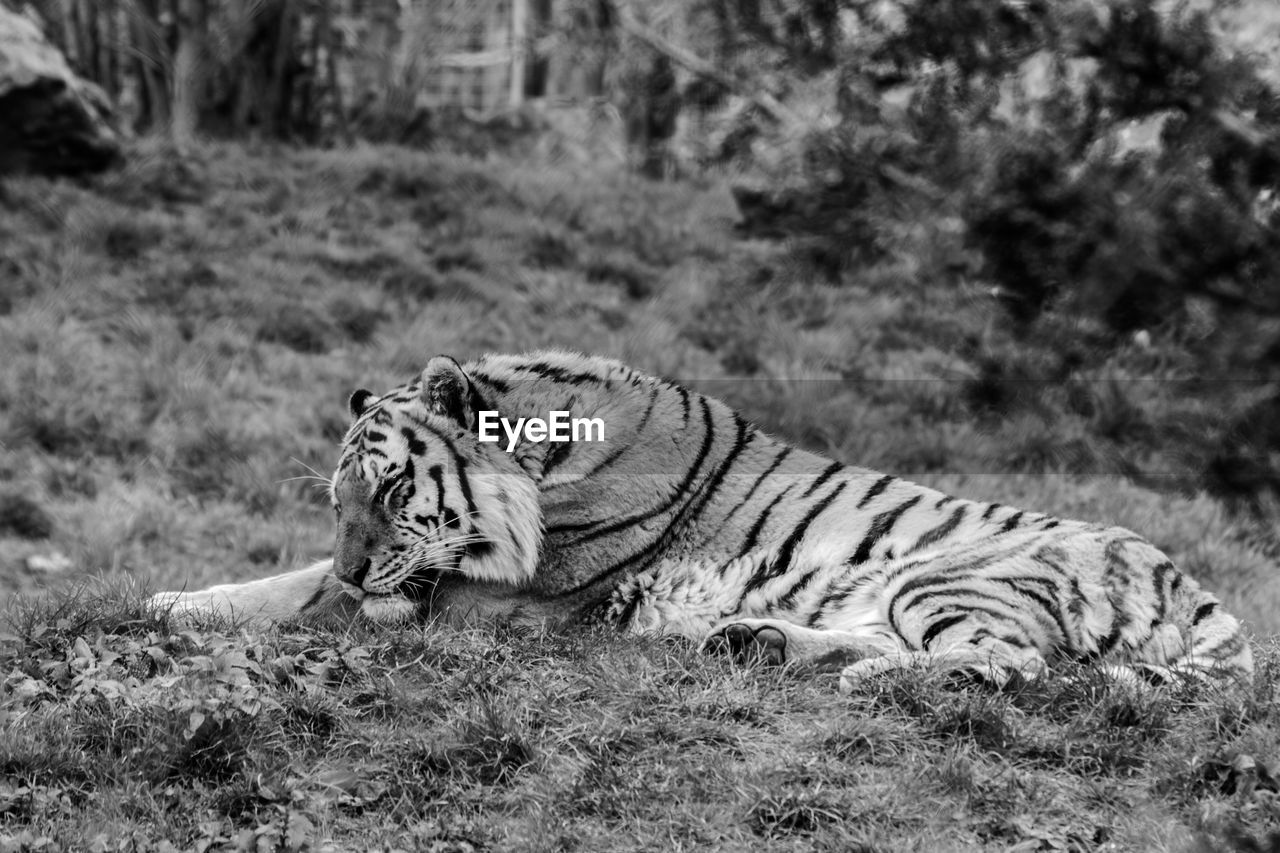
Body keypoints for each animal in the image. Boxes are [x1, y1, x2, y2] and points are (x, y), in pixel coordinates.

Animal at [149, 348, 1249, 686]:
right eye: (335, 499)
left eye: (388, 493)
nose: (353, 563)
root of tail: (1200, 592)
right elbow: (291, 581)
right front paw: (174, 598)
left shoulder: (492, 601)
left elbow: (314, 602)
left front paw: (179, 607)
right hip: (900, 586)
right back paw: (756, 641)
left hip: (955, 571)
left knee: (1008, 665)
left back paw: (864, 678)